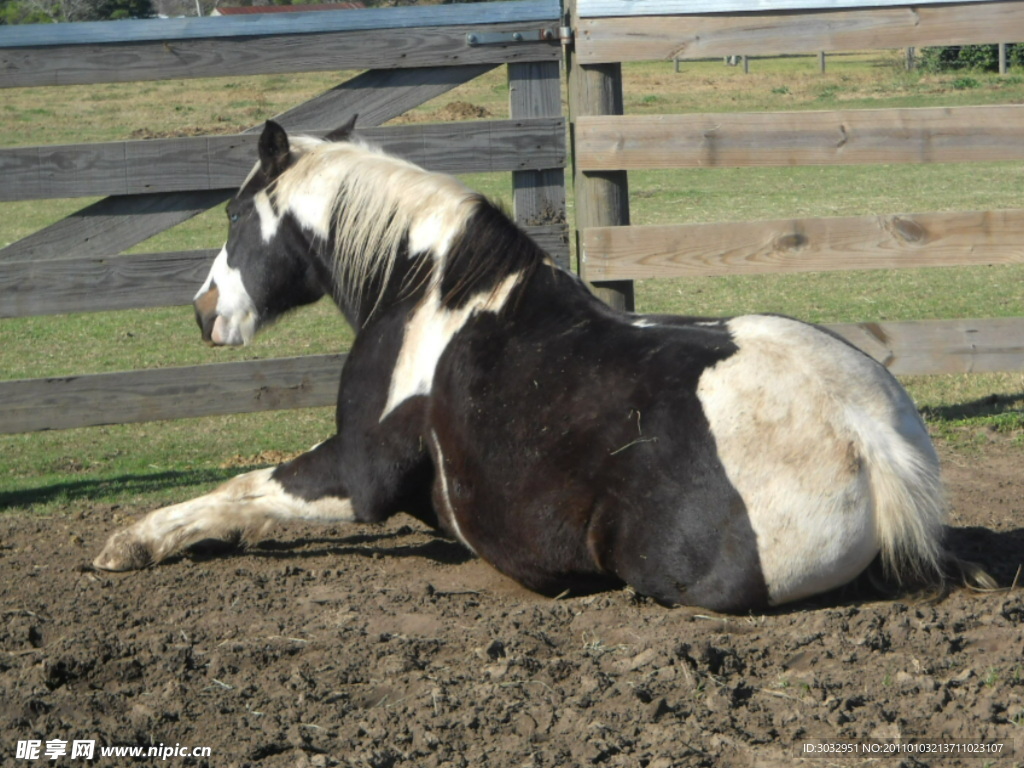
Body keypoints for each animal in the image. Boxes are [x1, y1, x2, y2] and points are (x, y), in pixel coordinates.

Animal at [94, 118, 983, 614]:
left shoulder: (358, 474)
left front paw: (131, 543)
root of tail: (871, 437)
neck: (430, 293)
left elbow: (240, 490)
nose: (205, 312)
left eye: (235, 213)